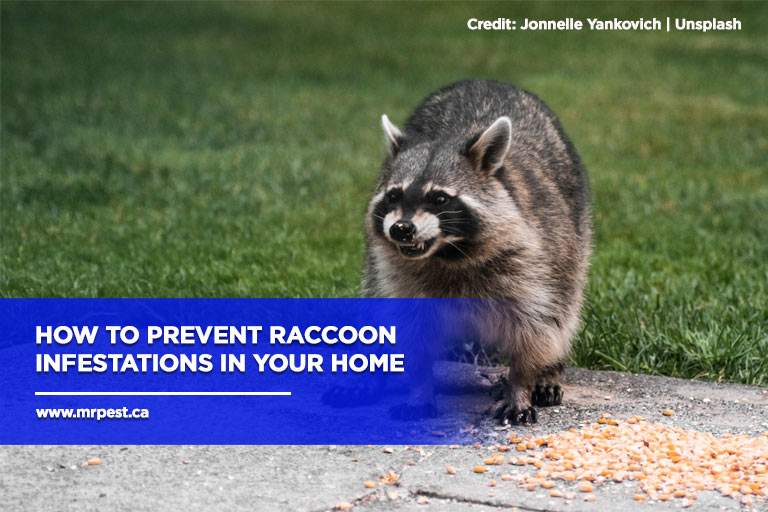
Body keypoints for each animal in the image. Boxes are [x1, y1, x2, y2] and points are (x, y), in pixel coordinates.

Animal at [363, 80, 591, 424]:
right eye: (394, 195)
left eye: (440, 199)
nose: (401, 229)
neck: (448, 253)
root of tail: (486, 81)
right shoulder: (399, 277)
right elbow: (409, 332)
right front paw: (419, 389)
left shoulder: (534, 262)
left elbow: (535, 327)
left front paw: (520, 385)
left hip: (575, 237)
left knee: (565, 309)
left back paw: (550, 371)